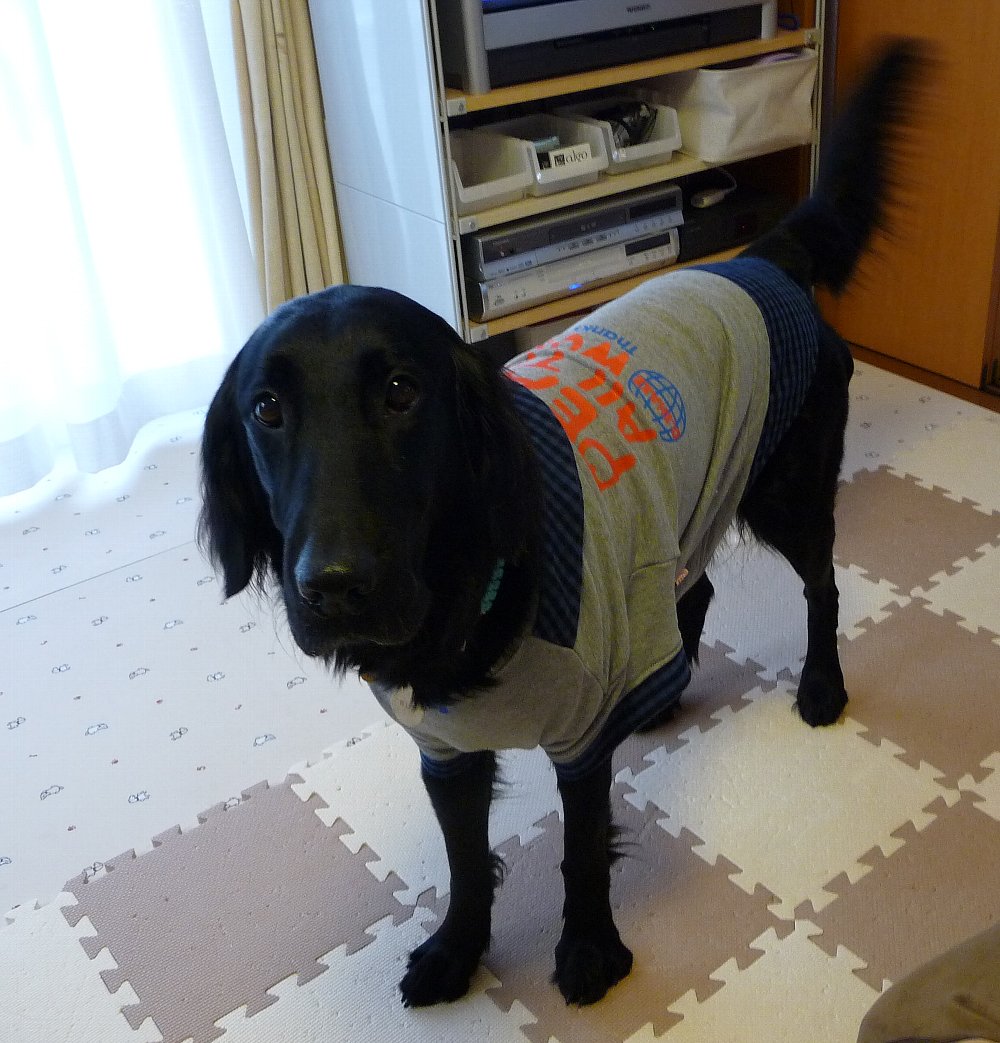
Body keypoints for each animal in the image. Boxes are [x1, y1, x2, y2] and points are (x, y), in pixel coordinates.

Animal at [199, 41, 921, 1008]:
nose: (335, 587)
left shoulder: (577, 742)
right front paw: (457, 951)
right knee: (697, 588)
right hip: (690, 499)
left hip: (787, 490)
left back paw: (821, 686)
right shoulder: (444, 750)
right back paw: (662, 694)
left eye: (402, 391)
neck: (463, 606)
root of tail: (759, 259)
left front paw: (587, 950)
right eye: (267, 409)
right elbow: (468, 862)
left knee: (824, 586)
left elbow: (581, 853)